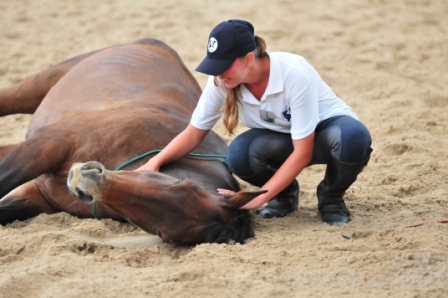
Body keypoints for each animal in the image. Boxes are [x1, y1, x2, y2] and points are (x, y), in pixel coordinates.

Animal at [0, 38, 262, 244]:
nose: (85, 182)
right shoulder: (49, 143)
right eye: (181, 183)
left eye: (161, 231)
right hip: (43, 83)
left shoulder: (40, 196)